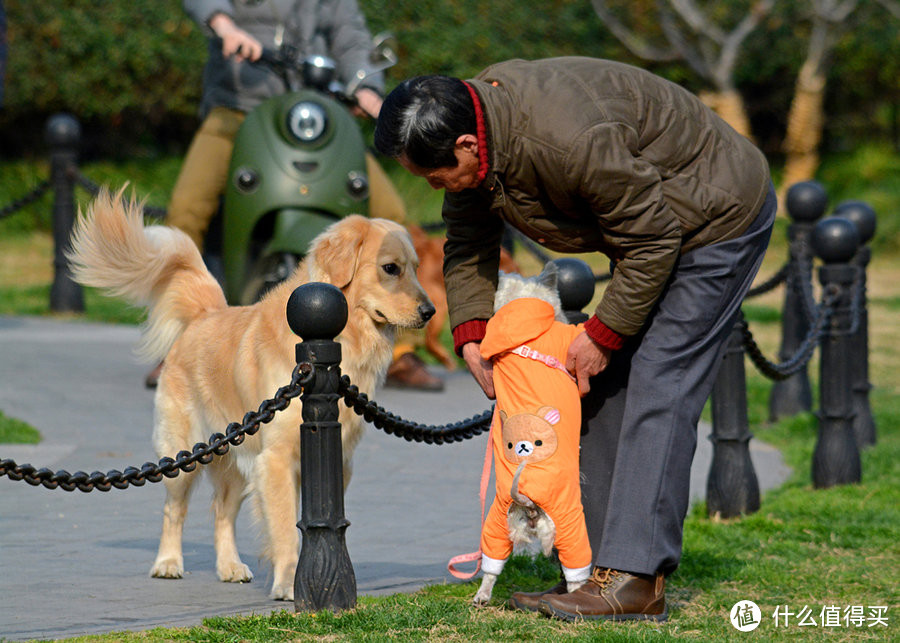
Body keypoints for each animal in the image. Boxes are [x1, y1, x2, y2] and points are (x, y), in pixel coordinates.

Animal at [472, 264, 592, 608]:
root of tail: (527, 500)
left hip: (497, 522)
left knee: (491, 565)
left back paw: (482, 596)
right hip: (570, 523)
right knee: (576, 568)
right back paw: (577, 599)